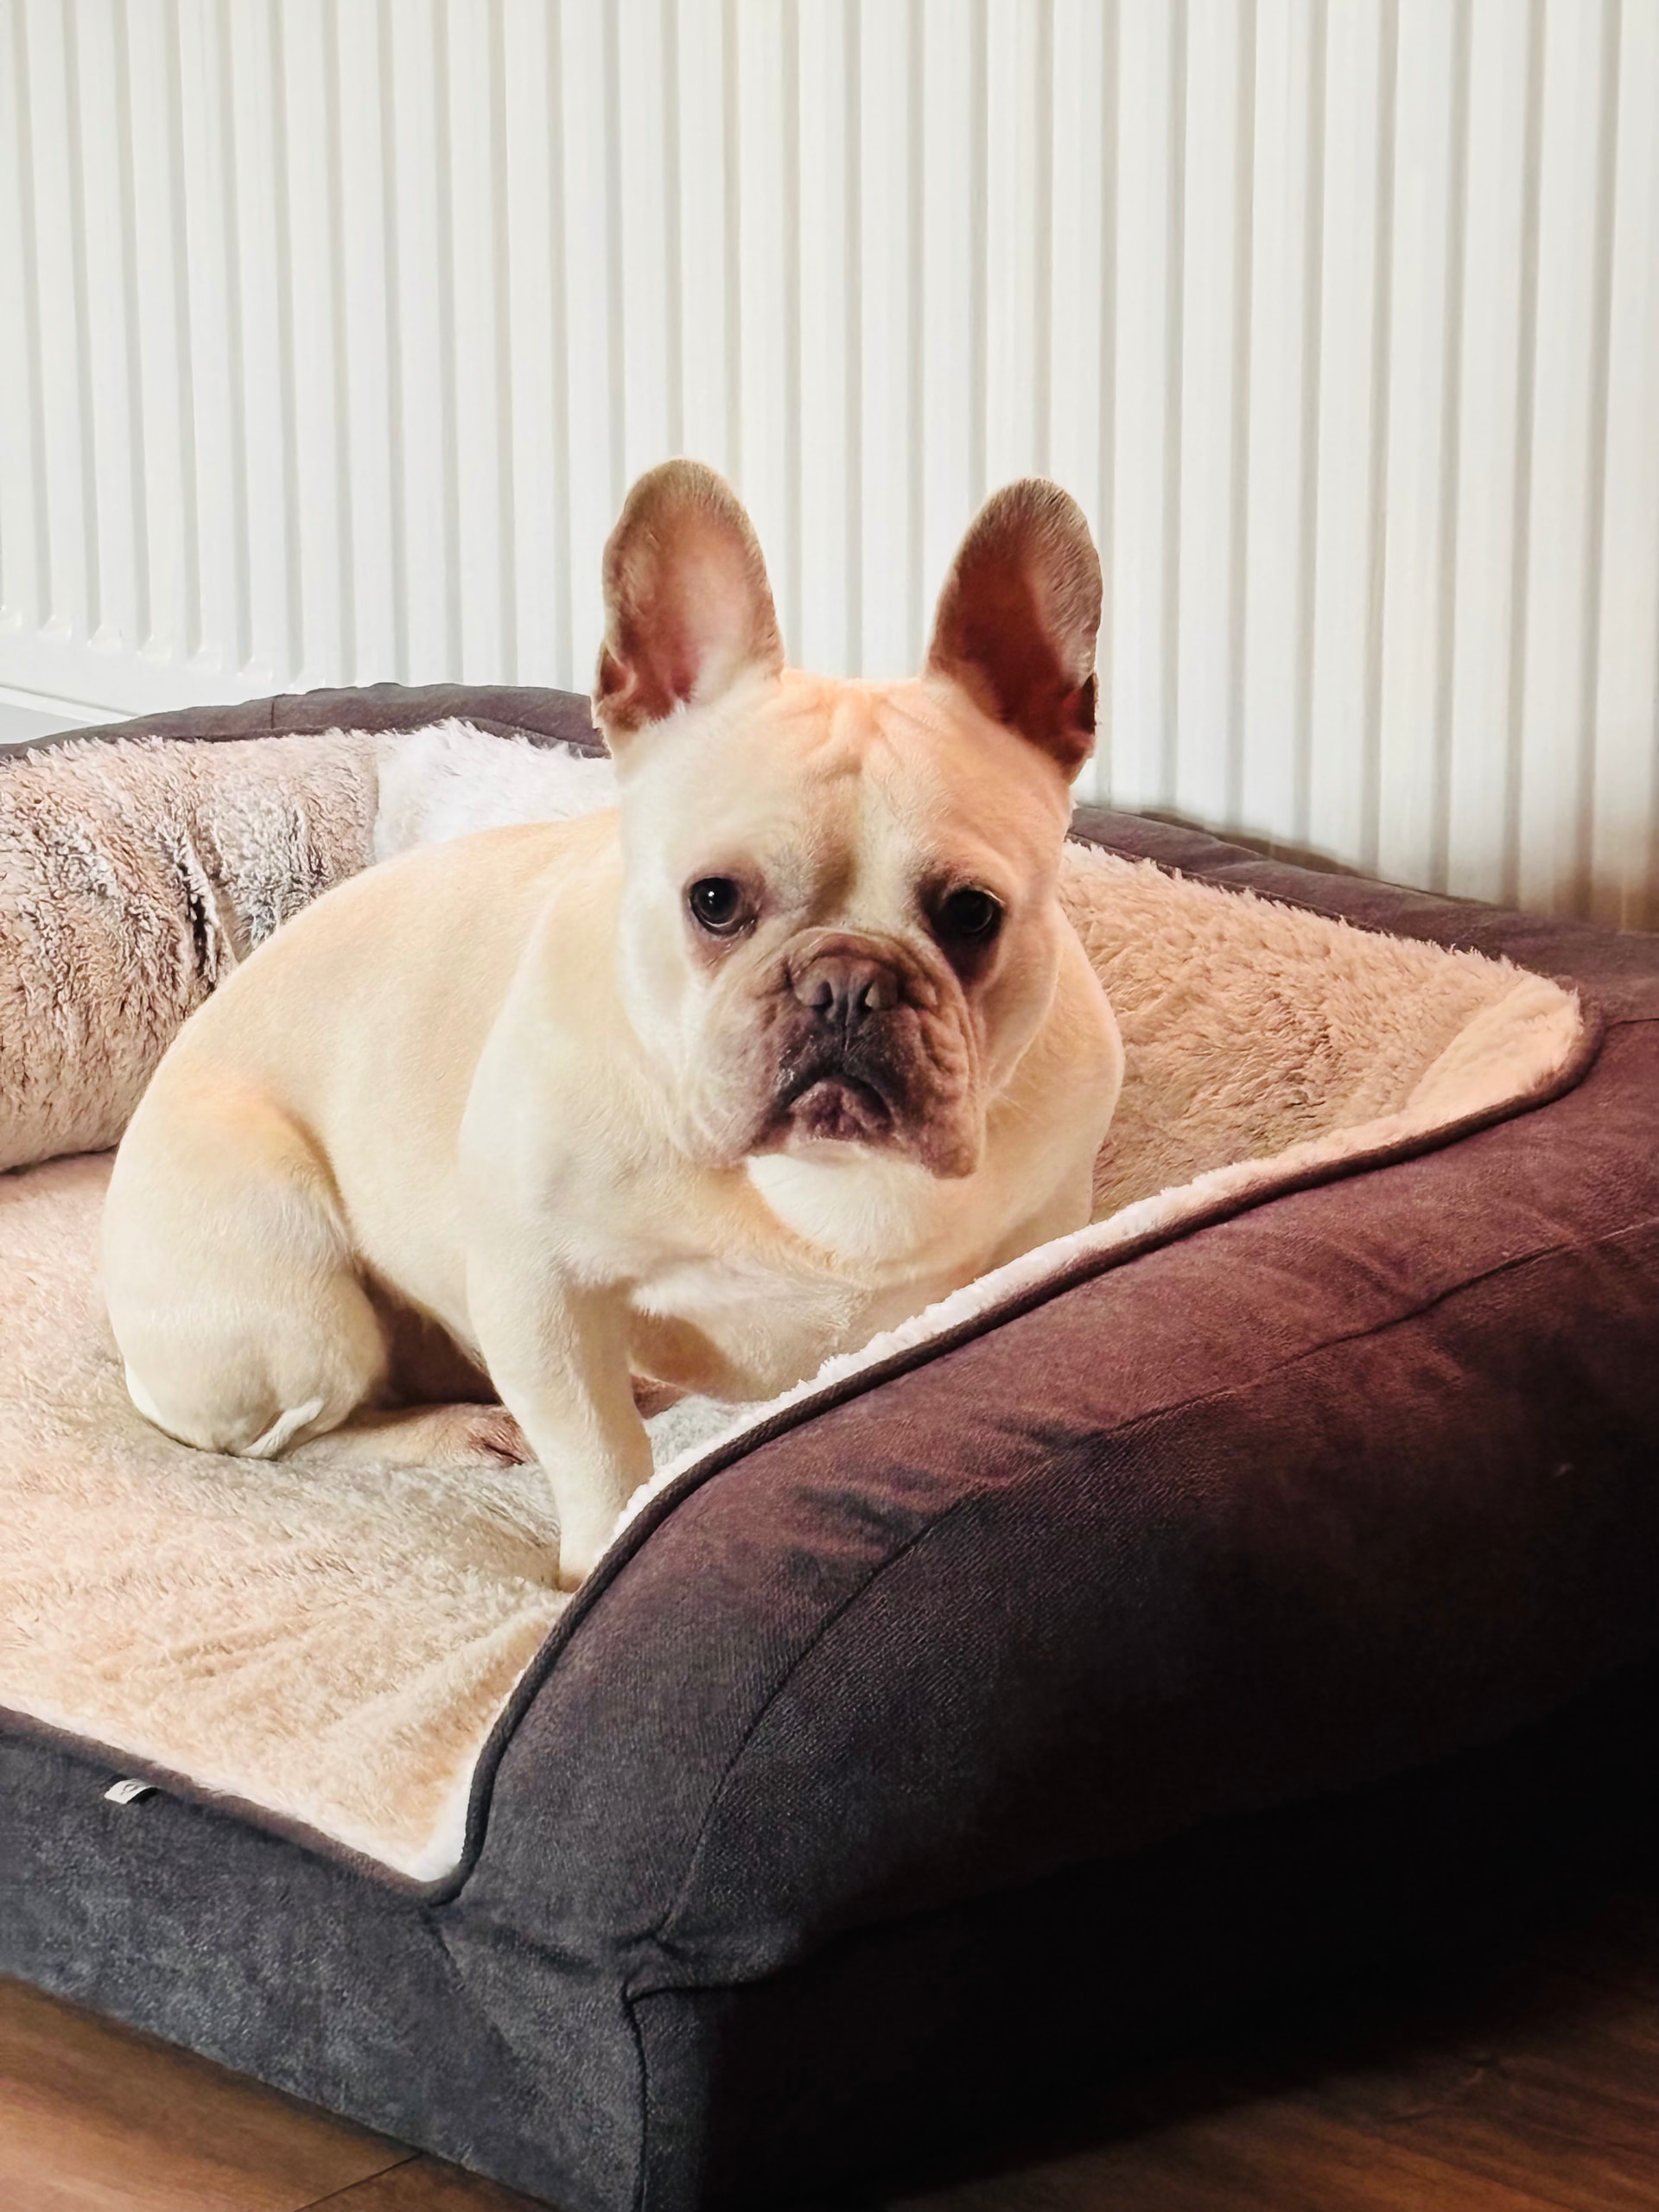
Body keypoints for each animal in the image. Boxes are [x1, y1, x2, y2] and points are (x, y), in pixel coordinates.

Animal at [102, 462, 1124, 1587]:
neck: (819, 1181)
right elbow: (598, 1450)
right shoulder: (539, 1287)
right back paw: (455, 1428)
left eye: (972, 914)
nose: (846, 983)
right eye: (714, 901)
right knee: (294, 1436)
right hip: (296, 1297)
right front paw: (597, 1555)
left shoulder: (1027, 1243)